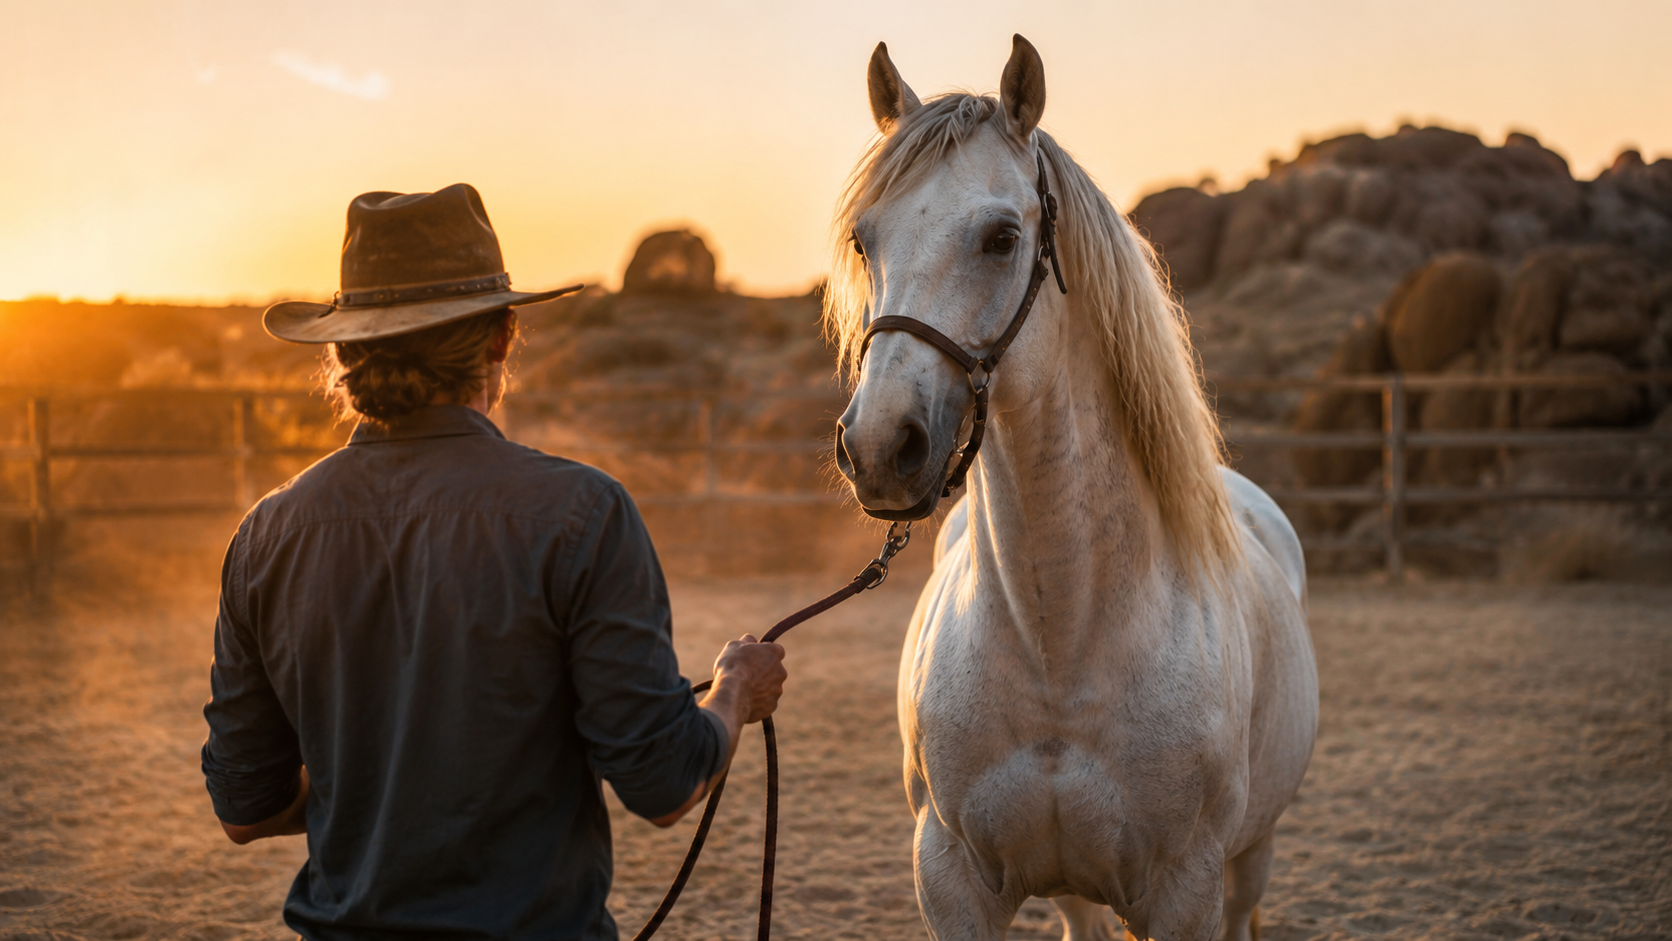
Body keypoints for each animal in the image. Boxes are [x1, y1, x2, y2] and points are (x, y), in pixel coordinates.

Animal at [826, 36, 1318, 941]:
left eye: (1001, 236)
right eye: (862, 240)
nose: (879, 447)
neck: (1061, 642)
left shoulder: (1186, 889)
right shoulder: (950, 879)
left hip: (1250, 857)